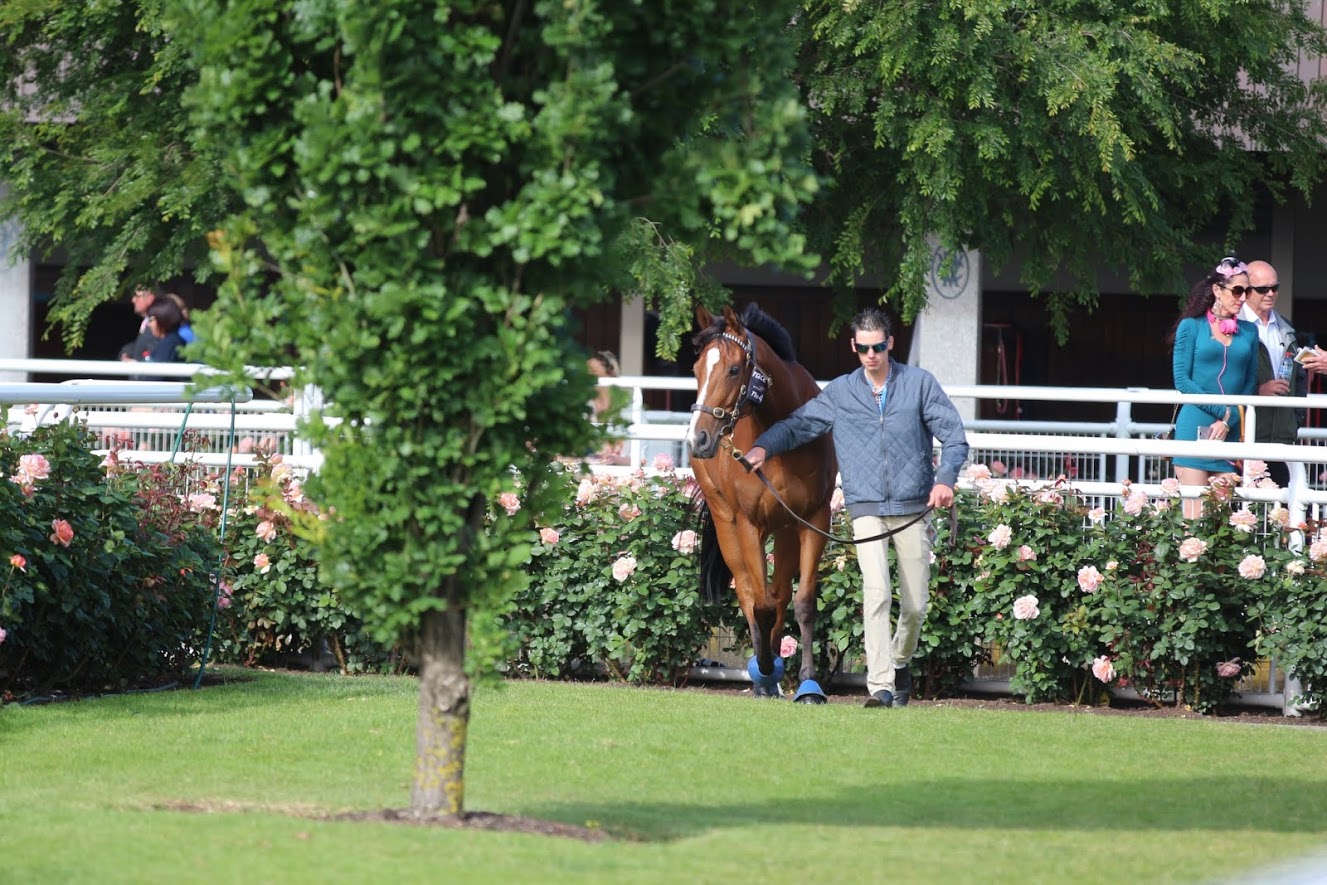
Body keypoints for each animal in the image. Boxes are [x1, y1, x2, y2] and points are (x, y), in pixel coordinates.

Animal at [690, 302, 833, 700]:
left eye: (734, 369)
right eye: (696, 370)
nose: (698, 438)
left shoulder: (814, 518)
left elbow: (802, 601)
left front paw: (808, 682)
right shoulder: (749, 524)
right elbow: (761, 603)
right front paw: (765, 668)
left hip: (784, 529)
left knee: (781, 593)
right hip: (726, 522)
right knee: (748, 590)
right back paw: (762, 673)